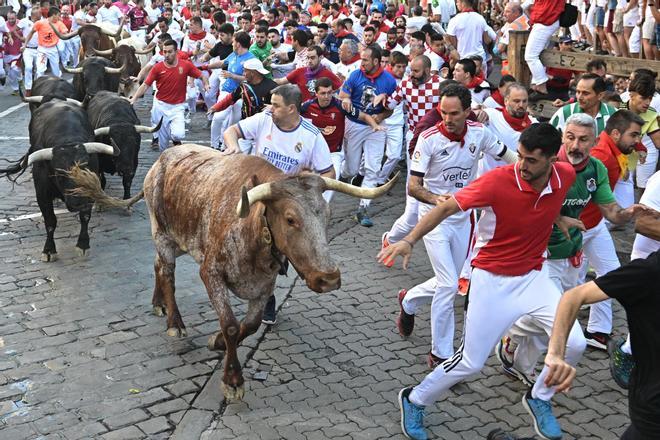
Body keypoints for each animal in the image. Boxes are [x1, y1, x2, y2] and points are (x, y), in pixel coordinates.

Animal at [71, 144, 398, 398]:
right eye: (290, 219)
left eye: (328, 215)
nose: (329, 278)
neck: (252, 229)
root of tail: (161, 160)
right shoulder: (211, 274)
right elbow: (230, 325)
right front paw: (232, 380)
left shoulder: (264, 286)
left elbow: (249, 326)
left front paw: (217, 342)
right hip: (161, 232)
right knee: (168, 274)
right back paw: (175, 322)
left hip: (178, 239)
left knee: (158, 265)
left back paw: (158, 303)